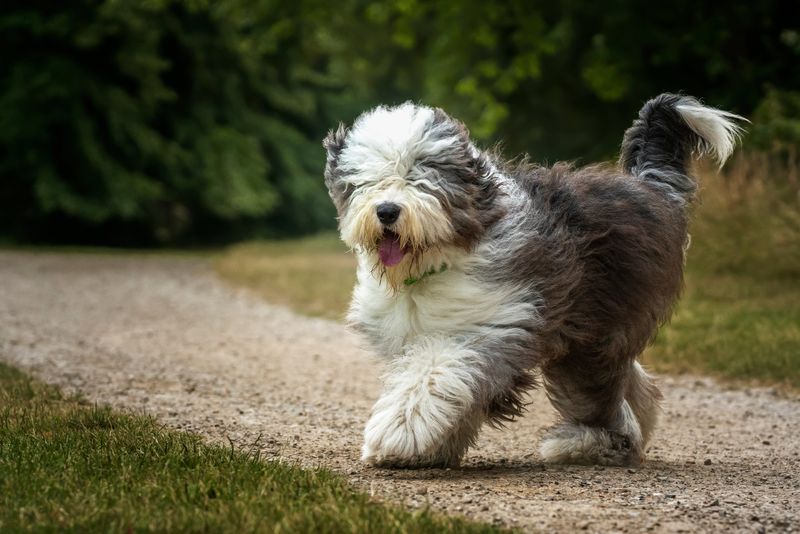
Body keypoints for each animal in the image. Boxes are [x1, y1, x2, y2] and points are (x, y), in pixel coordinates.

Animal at [322, 94, 748, 466]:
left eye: (418, 176)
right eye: (367, 181)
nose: (387, 211)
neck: (434, 265)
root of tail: (649, 186)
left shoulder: (495, 326)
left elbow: (434, 375)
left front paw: (397, 433)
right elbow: (453, 392)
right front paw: (432, 448)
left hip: (591, 337)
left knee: (601, 399)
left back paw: (585, 444)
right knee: (632, 382)